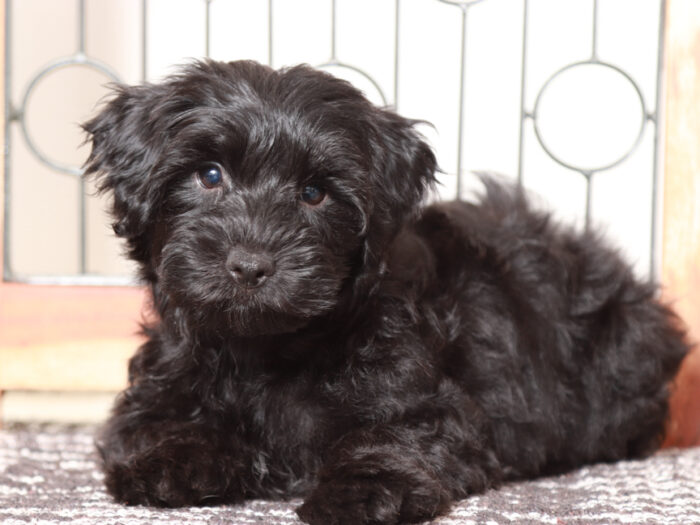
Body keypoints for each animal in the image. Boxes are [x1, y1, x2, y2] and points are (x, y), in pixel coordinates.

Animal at [83, 59, 688, 524]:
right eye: (209, 176)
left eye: (314, 194)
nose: (251, 265)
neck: (269, 347)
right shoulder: (159, 383)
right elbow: (154, 424)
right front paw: (171, 462)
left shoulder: (426, 398)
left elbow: (392, 436)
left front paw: (363, 490)